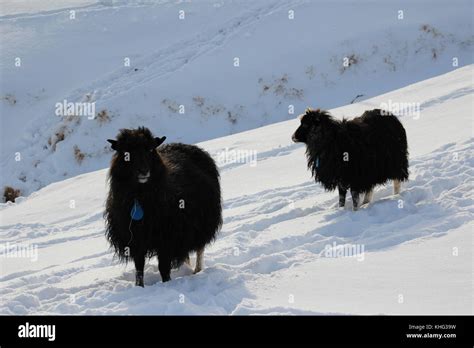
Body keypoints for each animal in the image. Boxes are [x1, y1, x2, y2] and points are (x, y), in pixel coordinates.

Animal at [104, 127, 223, 286]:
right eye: (126, 152)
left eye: (150, 149)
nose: (143, 171)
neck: (140, 197)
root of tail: (188, 146)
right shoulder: (136, 241)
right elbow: (139, 268)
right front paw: (139, 286)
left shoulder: (167, 240)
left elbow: (163, 267)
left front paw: (167, 283)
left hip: (203, 222)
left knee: (199, 248)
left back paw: (196, 270)